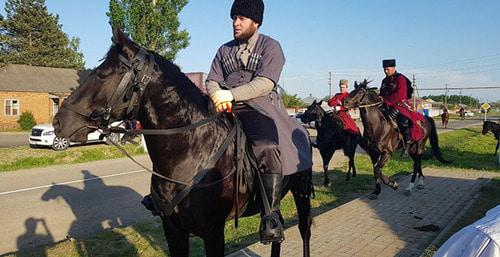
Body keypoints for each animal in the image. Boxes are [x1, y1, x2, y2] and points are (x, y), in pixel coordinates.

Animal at [51, 27, 312, 256]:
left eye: (102, 74)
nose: (59, 122)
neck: (190, 152)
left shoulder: (213, 232)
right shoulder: (173, 230)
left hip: (302, 193)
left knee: (304, 231)